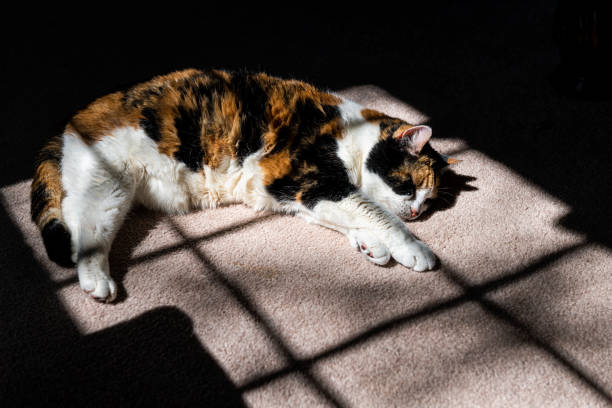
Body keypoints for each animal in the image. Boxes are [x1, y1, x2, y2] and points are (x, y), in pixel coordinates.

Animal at [31, 68, 456, 302]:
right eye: (408, 186)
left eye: (429, 202)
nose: (416, 212)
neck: (349, 135)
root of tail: (74, 120)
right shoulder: (307, 179)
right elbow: (377, 213)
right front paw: (413, 249)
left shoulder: (293, 192)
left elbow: (348, 216)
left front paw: (371, 246)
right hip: (107, 185)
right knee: (79, 237)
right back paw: (98, 283)